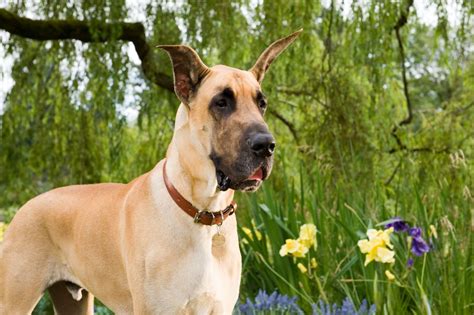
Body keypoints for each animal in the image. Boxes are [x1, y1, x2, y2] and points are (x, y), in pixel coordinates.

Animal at [0, 29, 302, 314]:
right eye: (221, 102)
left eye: (261, 103)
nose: (266, 146)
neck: (202, 211)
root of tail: (25, 207)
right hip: (14, 298)